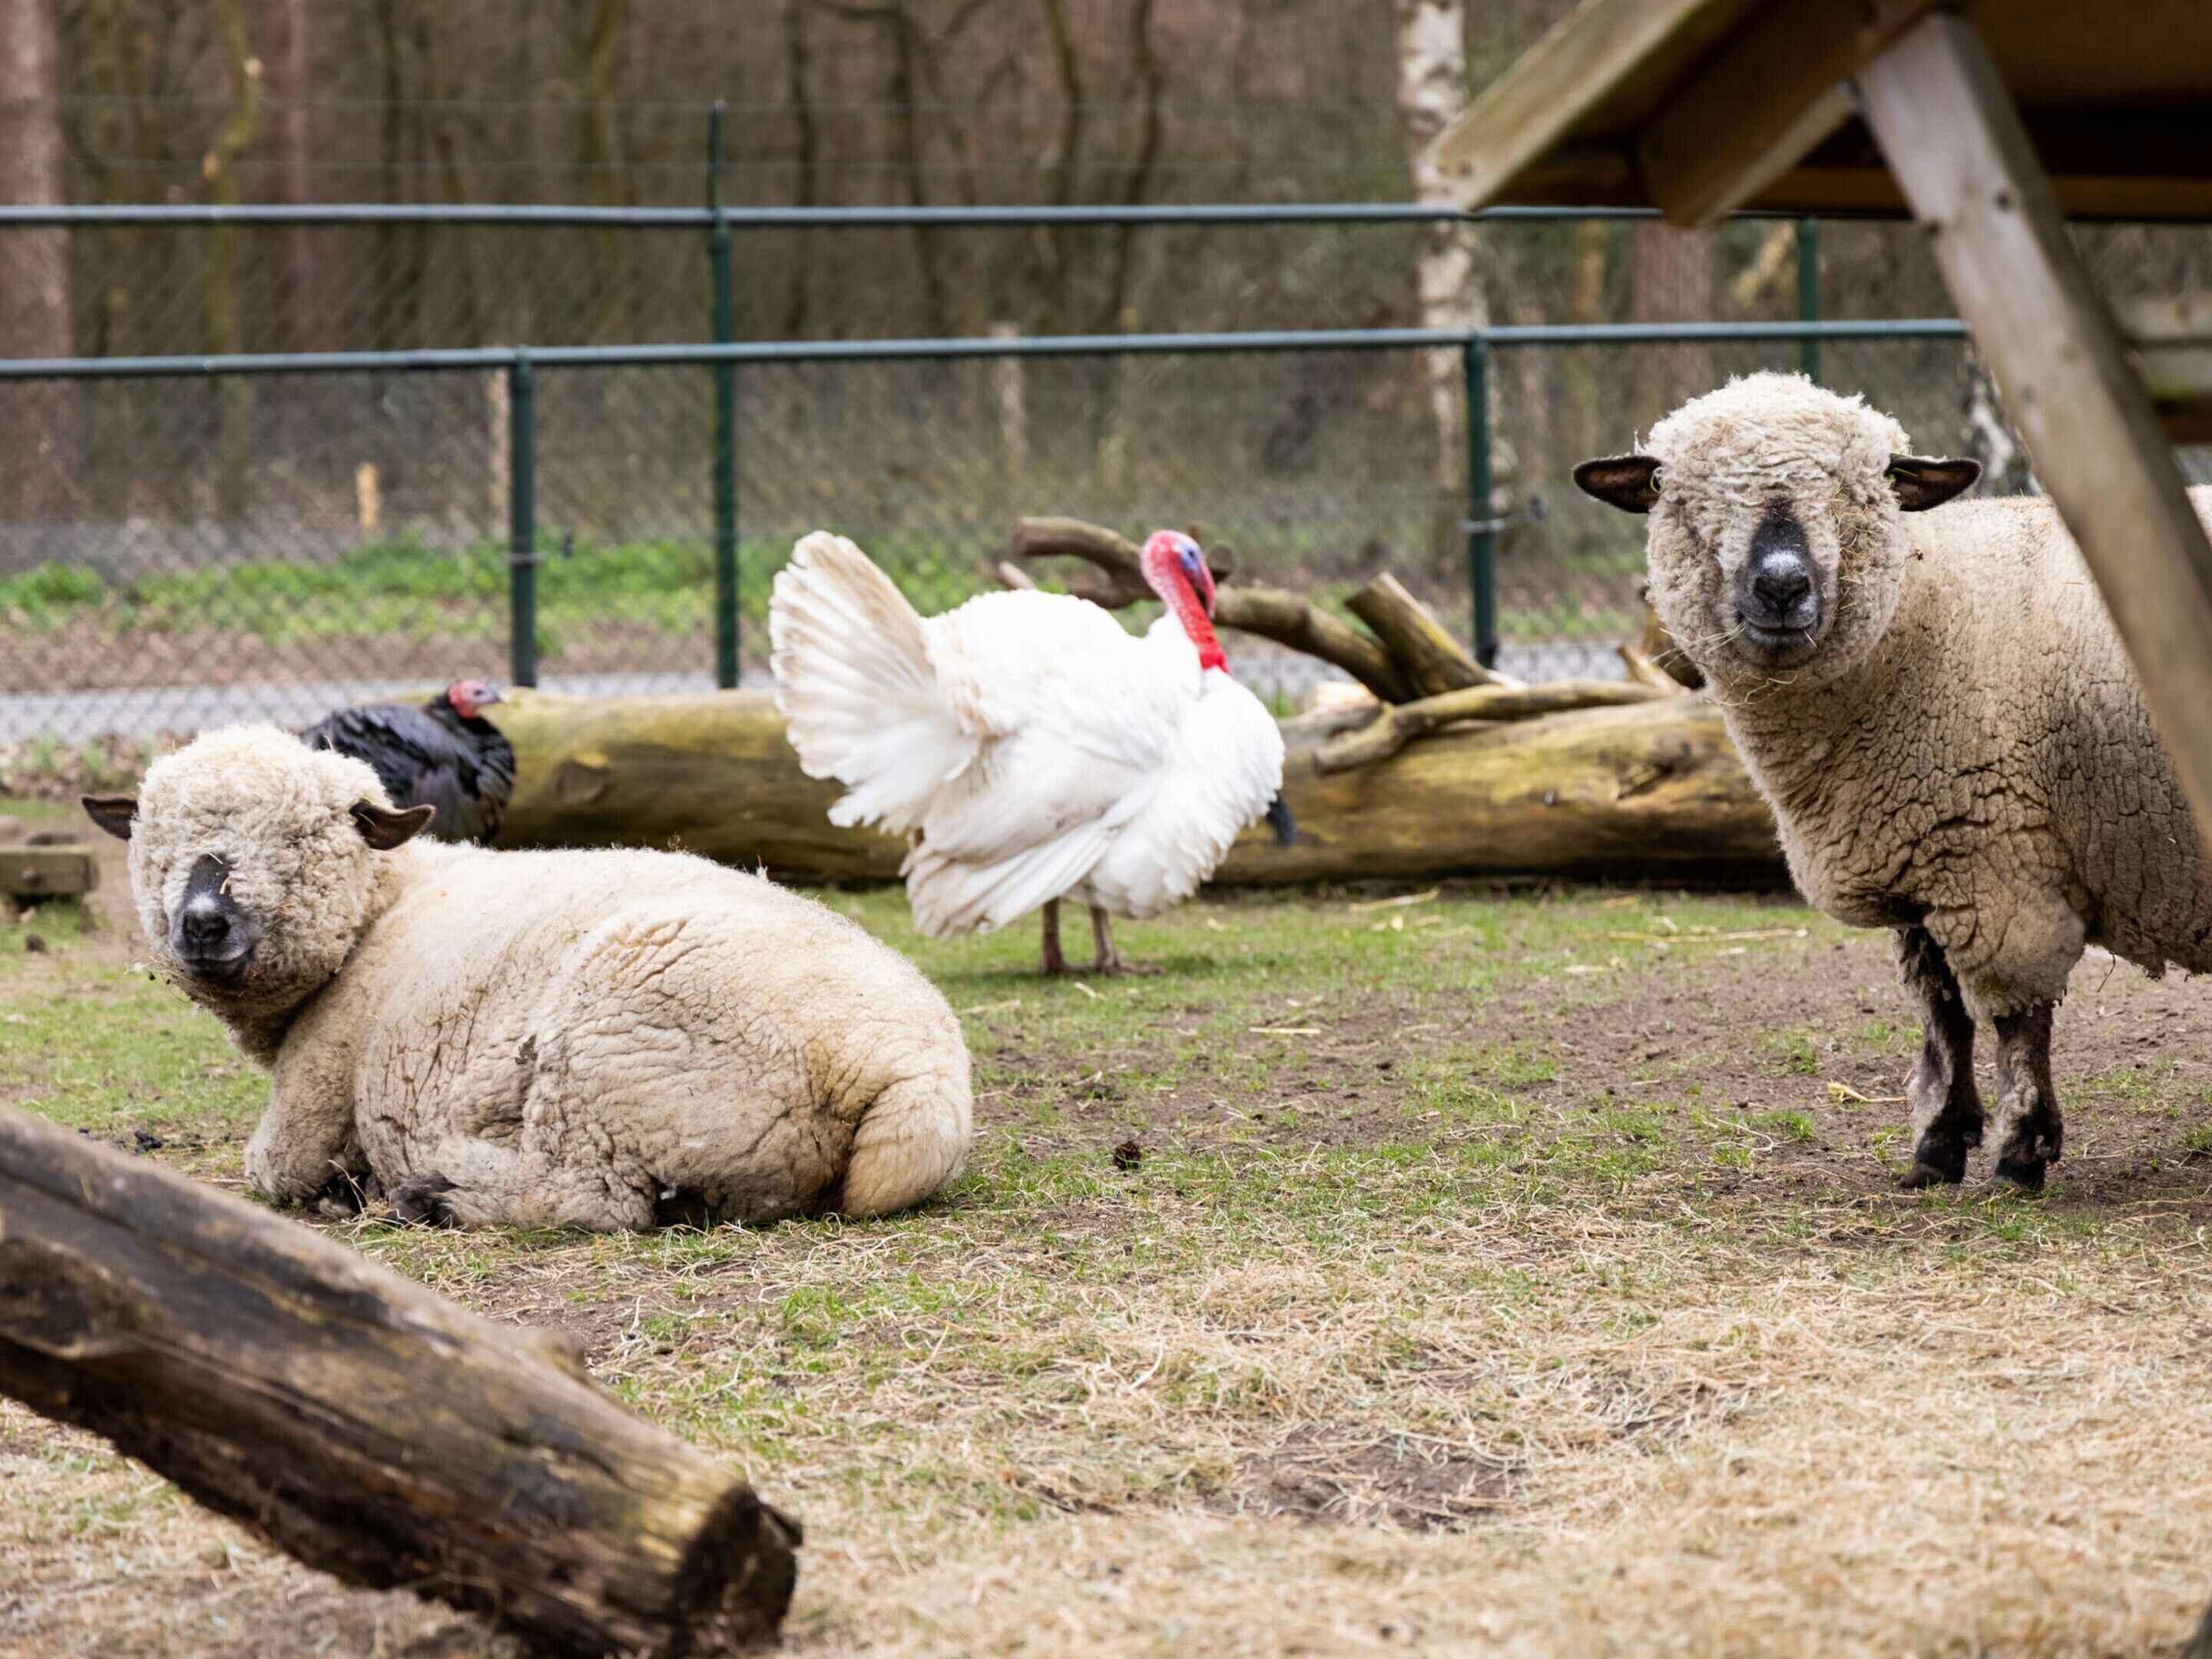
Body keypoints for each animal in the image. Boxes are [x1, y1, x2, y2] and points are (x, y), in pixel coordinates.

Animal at [82, 724, 972, 1229]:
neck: (389, 902)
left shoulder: (316, 1097)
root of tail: (910, 1076)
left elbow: (274, 1170)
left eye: (301, 839)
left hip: (612, 1056)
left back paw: (435, 1195)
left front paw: (344, 1190)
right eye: (152, 838)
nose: (203, 922)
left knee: (594, 1200)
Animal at [1576, 372, 2212, 1192]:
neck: (1919, 618)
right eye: (1679, 496)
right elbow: (1942, 1013)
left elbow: (2016, 1021)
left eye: (1861, 490)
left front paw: (2020, 1151)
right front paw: (1938, 1147)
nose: (1783, 586)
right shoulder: (1925, 861)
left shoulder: (1999, 866)